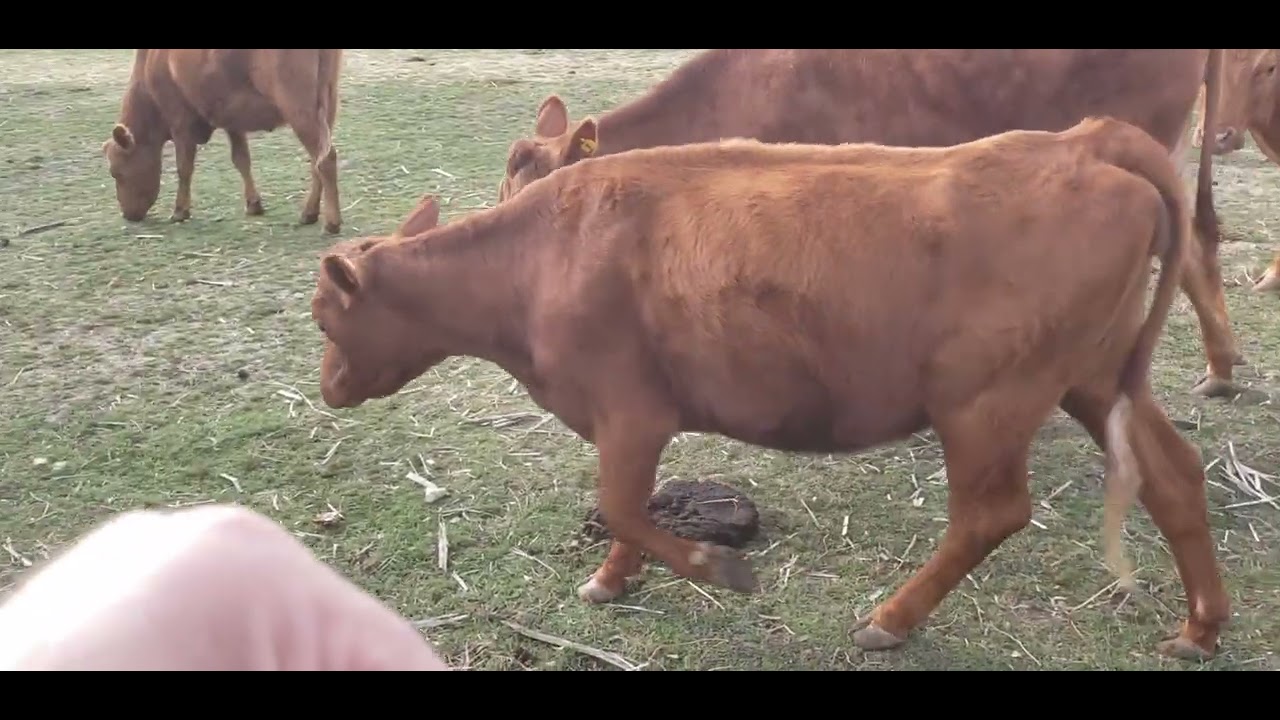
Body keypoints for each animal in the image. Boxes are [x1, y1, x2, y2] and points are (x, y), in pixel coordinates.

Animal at [101, 49, 345, 234]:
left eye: (116, 172)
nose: (128, 215)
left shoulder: (180, 119)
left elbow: (184, 168)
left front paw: (180, 211)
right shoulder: (232, 119)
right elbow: (241, 160)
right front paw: (253, 204)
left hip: (298, 106)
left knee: (325, 159)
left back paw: (332, 223)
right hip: (328, 103)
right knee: (317, 160)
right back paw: (309, 213)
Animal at [310, 117, 1228, 661]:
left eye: (324, 319)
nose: (327, 391)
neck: (541, 256)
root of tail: (1082, 141)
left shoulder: (631, 411)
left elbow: (622, 506)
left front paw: (716, 570)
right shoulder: (632, 421)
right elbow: (628, 513)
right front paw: (615, 580)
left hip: (986, 404)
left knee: (991, 514)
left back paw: (890, 621)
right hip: (1096, 378)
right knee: (1175, 478)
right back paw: (1200, 627)